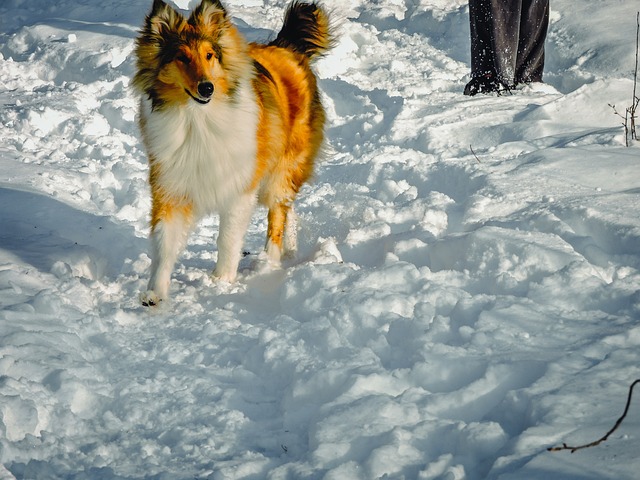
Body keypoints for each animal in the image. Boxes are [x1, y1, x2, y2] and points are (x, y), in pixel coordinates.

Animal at [134, 0, 336, 306]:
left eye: (209, 55)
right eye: (181, 58)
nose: (206, 87)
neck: (197, 119)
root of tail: (287, 47)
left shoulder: (239, 187)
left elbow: (227, 238)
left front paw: (222, 281)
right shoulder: (171, 186)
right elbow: (164, 244)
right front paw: (155, 293)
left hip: (282, 169)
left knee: (278, 212)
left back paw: (270, 261)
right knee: (289, 210)